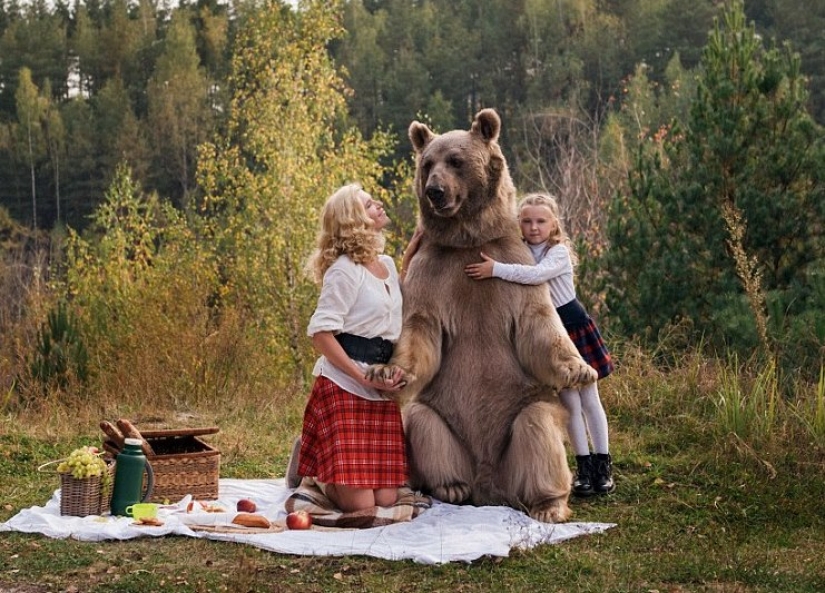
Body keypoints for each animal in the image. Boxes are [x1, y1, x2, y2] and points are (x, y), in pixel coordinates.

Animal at [367, 108, 598, 523]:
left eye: (456, 160)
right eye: (428, 164)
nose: (435, 191)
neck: (468, 242)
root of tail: (489, 487)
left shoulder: (512, 267)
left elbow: (537, 324)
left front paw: (579, 368)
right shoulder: (432, 274)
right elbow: (420, 330)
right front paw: (387, 372)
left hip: (522, 410)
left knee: (538, 431)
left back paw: (549, 505)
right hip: (443, 415)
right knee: (423, 424)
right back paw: (451, 487)